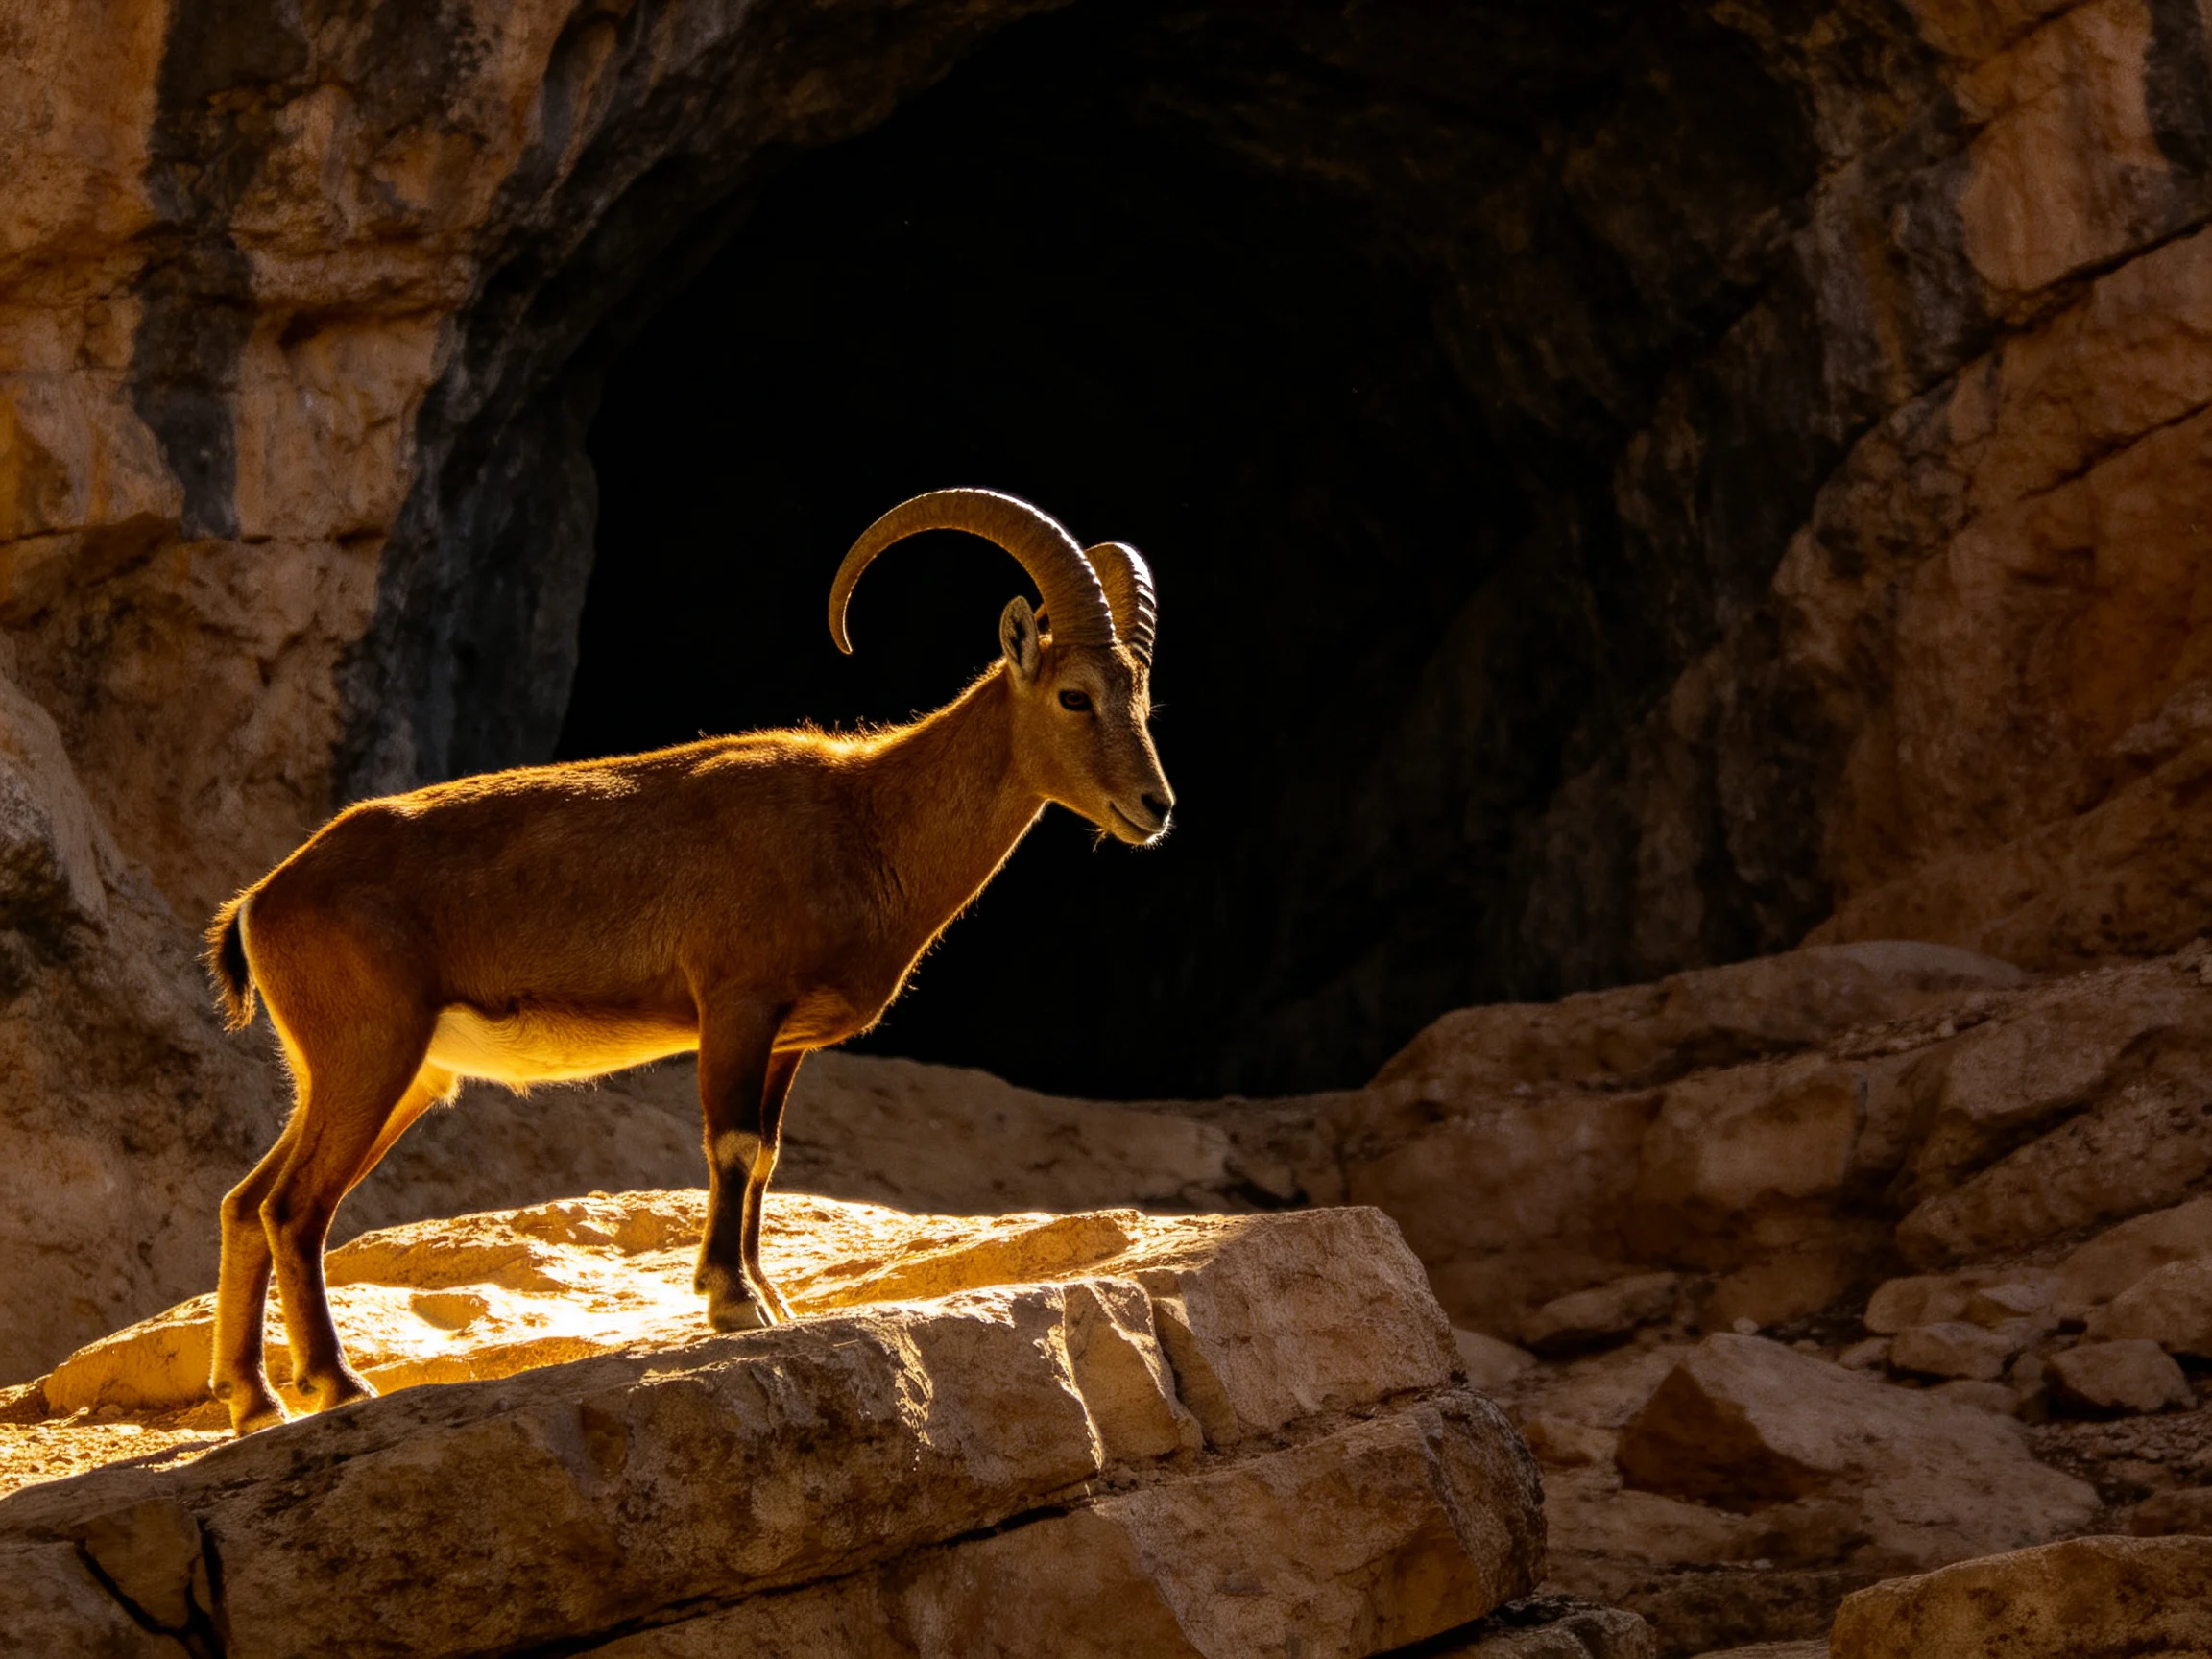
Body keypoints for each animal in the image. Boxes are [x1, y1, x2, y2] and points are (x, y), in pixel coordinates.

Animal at [201, 488, 1174, 1436]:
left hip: (381, 1075)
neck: (863, 821)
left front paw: (766, 1297)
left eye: (1143, 701)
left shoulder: (787, 1040)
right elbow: (732, 1144)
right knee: (294, 1207)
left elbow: (766, 1155)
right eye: (1076, 696)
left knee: (247, 1200)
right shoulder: (736, 1004)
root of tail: (261, 899)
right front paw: (732, 1302)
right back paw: (334, 1386)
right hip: (368, 1053)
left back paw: (254, 1399)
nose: (1155, 806)